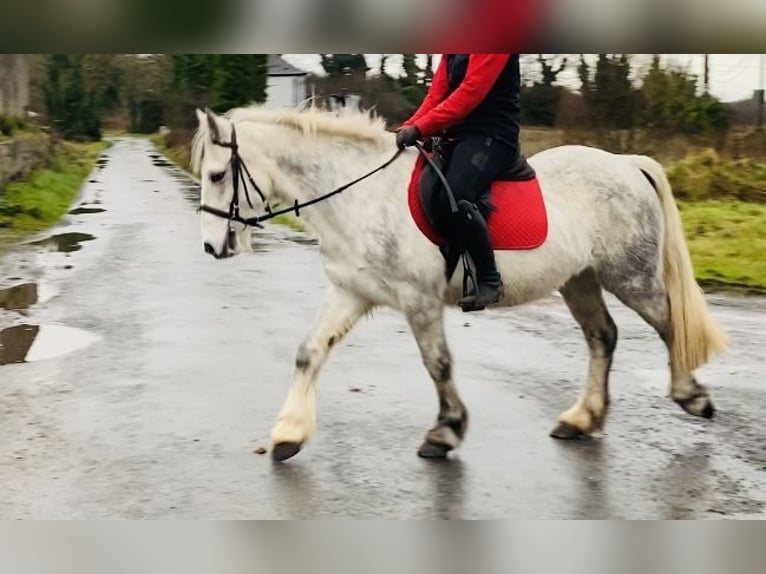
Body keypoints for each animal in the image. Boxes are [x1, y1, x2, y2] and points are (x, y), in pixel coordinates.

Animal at [189, 103, 728, 464]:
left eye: (216, 175)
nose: (212, 247)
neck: (360, 196)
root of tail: (626, 162)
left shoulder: (419, 300)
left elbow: (438, 364)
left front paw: (444, 433)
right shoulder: (351, 292)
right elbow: (309, 352)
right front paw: (288, 435)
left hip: (629, 276)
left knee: (668, 324)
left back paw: (692, 396)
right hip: (580, 279)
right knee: (603, 336)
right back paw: (581, 419)